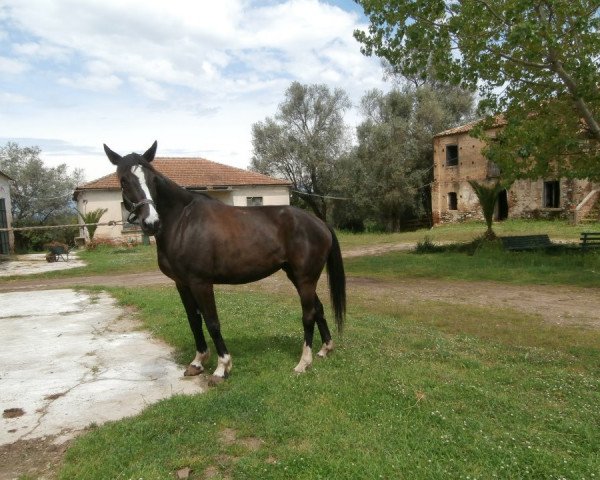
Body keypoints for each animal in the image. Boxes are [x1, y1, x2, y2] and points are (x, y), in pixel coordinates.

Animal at [104, 142, 346, 378]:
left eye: (152, 179)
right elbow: (194, 321)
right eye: (123, 181)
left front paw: (222, 367)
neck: (182, 222)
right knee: (318, 309)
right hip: (295, 275)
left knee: (308, 314)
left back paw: (303, 363)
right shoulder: (182, 283)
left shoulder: (201, 283)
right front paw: (197, 362)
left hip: (306, 278)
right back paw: (325, 349)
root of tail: (319, 222)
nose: (152, 222)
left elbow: (212, 322)